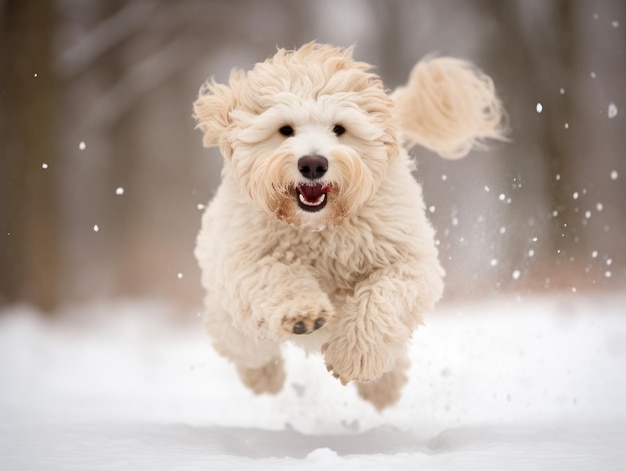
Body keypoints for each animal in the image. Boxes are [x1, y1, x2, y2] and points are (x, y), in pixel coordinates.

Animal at [193, 42, 504, 410]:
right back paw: (264, 377)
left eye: (339, 129)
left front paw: (354, 357)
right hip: (228, 311)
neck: (321, 230)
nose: (313, 164)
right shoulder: (243, 260)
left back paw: (383, 387)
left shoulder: (408, 262)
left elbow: (381, 299)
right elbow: (277, 274)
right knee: (246, 346)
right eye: (285, 129)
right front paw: (303, 312)